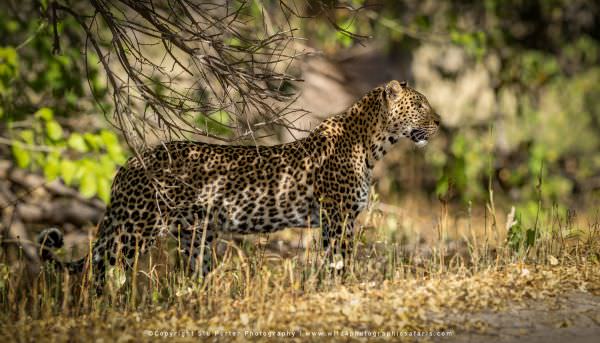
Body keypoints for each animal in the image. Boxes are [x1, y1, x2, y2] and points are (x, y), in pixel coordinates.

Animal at [38, 80, 440, 288]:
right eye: (421, 105)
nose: (440, 122)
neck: (372, 143)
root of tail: (128, 164)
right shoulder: (337, 216)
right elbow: (341, 260)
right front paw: (345, 289)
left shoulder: (333, 220)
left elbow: (333, 261)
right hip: (137, 227)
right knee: (101, 270)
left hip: (193, 234)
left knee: (191, 273)